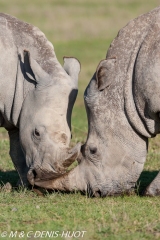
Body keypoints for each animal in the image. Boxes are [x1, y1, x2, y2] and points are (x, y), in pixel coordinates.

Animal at [0, 12, 80, 186]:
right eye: (36, 133)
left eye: (70, 136)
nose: (46, 177)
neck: (26, 84)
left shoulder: (16, 110)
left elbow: (17, 152)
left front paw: (24, 186)